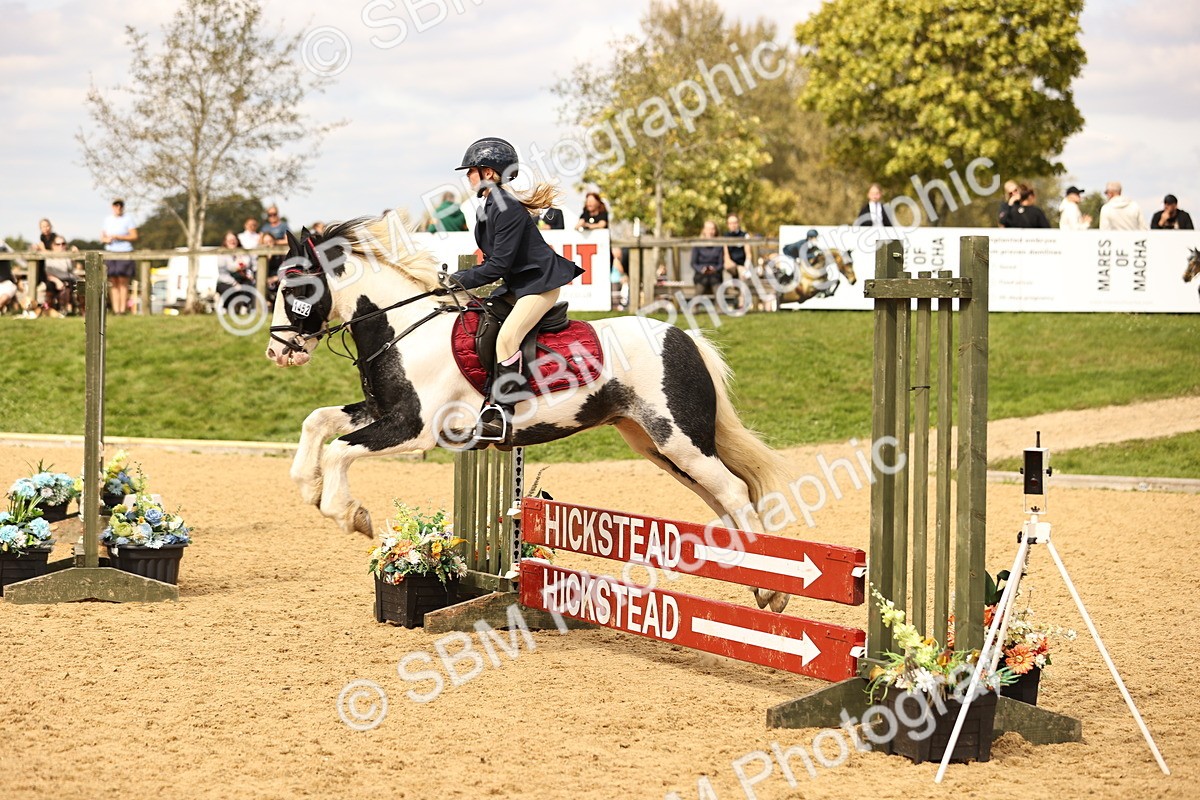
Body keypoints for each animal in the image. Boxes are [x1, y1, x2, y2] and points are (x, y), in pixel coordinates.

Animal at [264, 212, 795, 611]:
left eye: (294, 290)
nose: (277, 353)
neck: (404, 328)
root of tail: (685, 337)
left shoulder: (412, 428)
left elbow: (339, 450)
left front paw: (349, 513)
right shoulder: (381, 411)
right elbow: (318, 422)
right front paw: (308, 486)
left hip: (679, 439)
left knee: (732, 491)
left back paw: (771, 591)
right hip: (656, 445)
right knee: (724, 498)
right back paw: (758, 582)